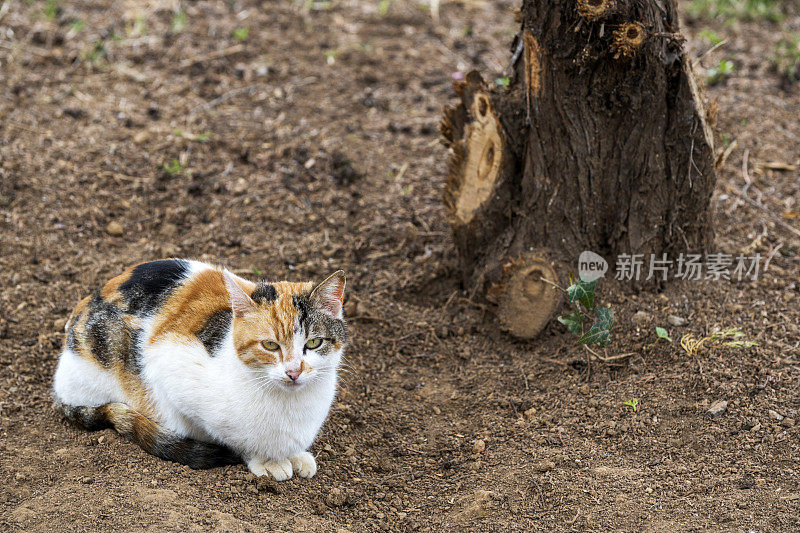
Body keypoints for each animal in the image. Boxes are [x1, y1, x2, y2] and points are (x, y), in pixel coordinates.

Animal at [51, 260, 346, 480]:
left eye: (314, 343)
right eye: (270, 345)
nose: (294, 371)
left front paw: (294, 455)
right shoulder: (168, 365)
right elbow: (231, 437)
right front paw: (265, 459)